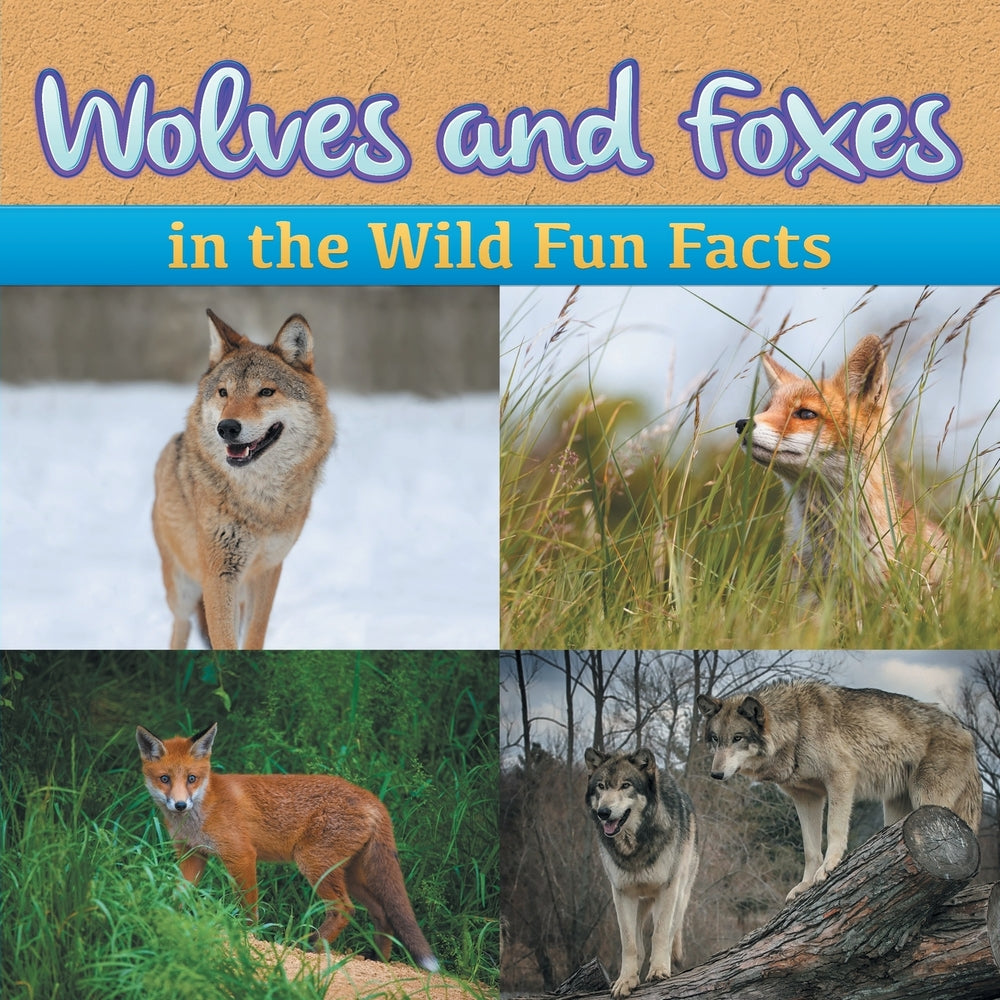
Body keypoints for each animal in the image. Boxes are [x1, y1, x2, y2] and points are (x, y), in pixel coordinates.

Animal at [135, 722, 438, 971]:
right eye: (165, 779)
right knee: (382, 914)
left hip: (314, 864)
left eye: (191, 778)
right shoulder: (192, 855)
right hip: (350, 876)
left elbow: (249, 908)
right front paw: (170, 921)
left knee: (344, 909)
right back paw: (378, 961)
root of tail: (373, 799)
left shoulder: (241, 855)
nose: (180, 804)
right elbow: (179, 896)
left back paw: (310, 947)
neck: (202, 810)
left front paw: (249, 939)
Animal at [152, 310, 336, 650]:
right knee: (181, 625)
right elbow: (224, 644)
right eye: (223, 392)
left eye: (266, 392)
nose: (227, 427)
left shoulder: (268, 570)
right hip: (182, 587)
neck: (260, 500)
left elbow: (254, 636)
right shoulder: (219, 574)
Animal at [584, 747, 699, 997]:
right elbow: (629, 943)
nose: (604, 812)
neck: (634, 847)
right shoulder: (622, 893)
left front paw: (658, 970)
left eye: (626, 785)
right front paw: (626, 980)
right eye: (601, 786)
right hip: (639, 902)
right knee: (638, 943)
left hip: (679, 895)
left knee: (669, 931)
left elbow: (660, 934)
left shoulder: (668, 889)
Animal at [696, 682, 982, 901]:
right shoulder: (806, 798)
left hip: (927, 801)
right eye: (715, 739)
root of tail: (967, 733)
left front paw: (829, 867)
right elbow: (810, 849)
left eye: (738, 738)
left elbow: (834, 829)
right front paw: (805, 885)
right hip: (895, 816)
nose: (715, 774)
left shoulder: (841, 778)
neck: (797, 728)